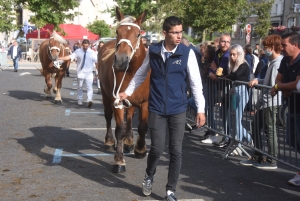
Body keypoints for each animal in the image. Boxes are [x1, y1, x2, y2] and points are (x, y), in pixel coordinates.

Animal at [98, 7, 150, 172]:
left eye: (138, 34)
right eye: (117, 31)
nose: (121, 60)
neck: (133, 71)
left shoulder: (146, 102)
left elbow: (142, 127)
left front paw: (140, 149)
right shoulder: (118, 101)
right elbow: (119, 129)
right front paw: (119, 161)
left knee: (130, 117)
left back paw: (129, 142)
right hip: (105, 94)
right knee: (108, 117)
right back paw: (109, 142)